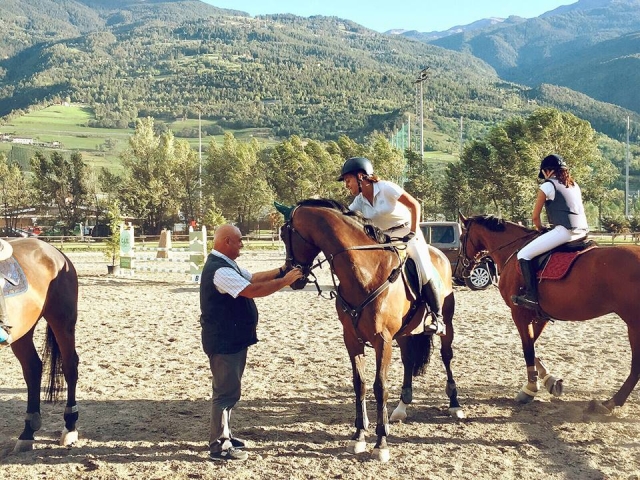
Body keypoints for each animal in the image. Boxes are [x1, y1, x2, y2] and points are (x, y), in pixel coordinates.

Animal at [1, 237, 80, 452]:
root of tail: (54, 250)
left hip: (62, 322)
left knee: (69, 367)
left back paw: (70, 427)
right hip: (23, 332)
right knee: (33, 368)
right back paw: (28, 432)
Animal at [277, 199, 463, 462]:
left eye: (285, 234)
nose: (291, 277)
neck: (364, 272)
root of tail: (439, 254)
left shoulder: (381, 341)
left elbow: (379, 386)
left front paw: (381, 441)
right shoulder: (352, 340)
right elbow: (360, 384)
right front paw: (358, 437)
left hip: (447, 323)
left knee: (447, 356)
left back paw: (455, 404)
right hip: (404, 334)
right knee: (408, 360)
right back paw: (402, 407)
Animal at [459, 214, 640, 413]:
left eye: (461, 238)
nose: (462, 270)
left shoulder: (519, 314)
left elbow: (527, 349)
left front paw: (530, 389)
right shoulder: (539, 316)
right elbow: (530, 346)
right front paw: (550, 381)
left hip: (634, 323)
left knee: (636, 366)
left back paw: (611, 402)